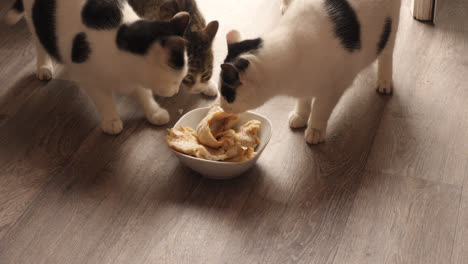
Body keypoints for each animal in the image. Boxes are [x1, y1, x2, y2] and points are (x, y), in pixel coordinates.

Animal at [4, 0, 191, 135]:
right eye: (176, 80)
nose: (175, 91)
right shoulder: (89, 78)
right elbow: (104, 100)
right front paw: (111, 120)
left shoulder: (136, 79)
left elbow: (144, 94)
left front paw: (154, 112)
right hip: (36, 21)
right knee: (40, 42)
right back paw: (44, 66)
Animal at [219, 0, 402, 144]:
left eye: (227, 95)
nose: (221, 106)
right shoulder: (304, 85)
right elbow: (303, 101)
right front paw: (300, 116)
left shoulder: (332, 90)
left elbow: (320, 110)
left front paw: (315, 130)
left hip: (390, 27)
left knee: (387, 53)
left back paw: (384, 81)